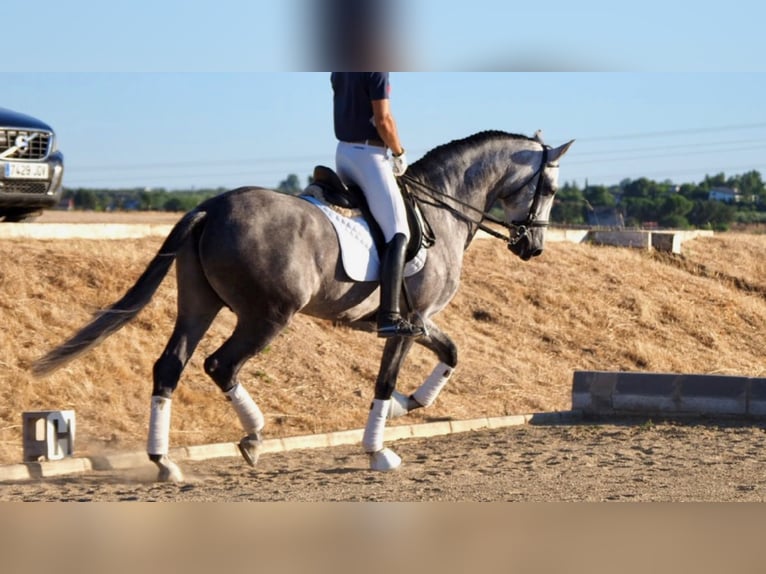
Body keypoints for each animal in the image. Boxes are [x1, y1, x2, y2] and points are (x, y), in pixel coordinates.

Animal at [34, 132, 576, 482]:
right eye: (549, 189)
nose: (533, 248)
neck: (442, 208)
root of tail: (212, 206)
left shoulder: (422, 323)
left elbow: (452, 354)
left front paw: (409, 406)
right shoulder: (409, 322)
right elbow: (387, 380)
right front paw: (379, 449)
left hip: (199, 304)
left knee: (170, 365)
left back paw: (165, 462)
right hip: (268, 315)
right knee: (220, 364)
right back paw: (253, 438)